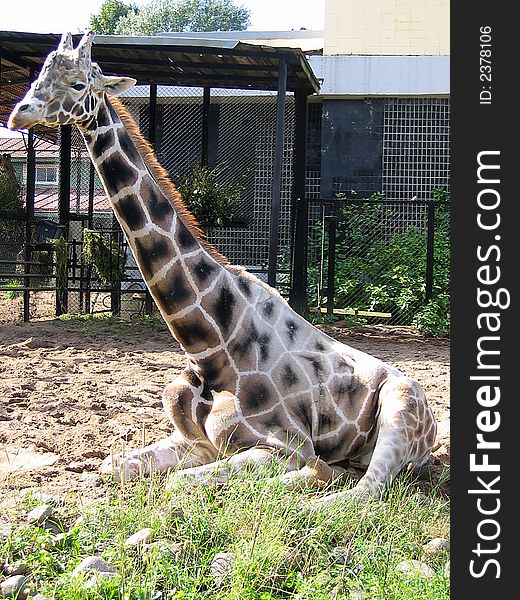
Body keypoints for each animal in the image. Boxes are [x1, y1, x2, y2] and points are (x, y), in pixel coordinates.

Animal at [9, 31, 438, 502]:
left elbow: (182, 482)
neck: (207, 347)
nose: (19, 113)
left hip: (400, 405)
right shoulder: (194, 441)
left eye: (79, 84)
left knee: (363, 491)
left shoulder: (284, 445)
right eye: (40, 73)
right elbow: (112, 465)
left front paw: (311, 474)